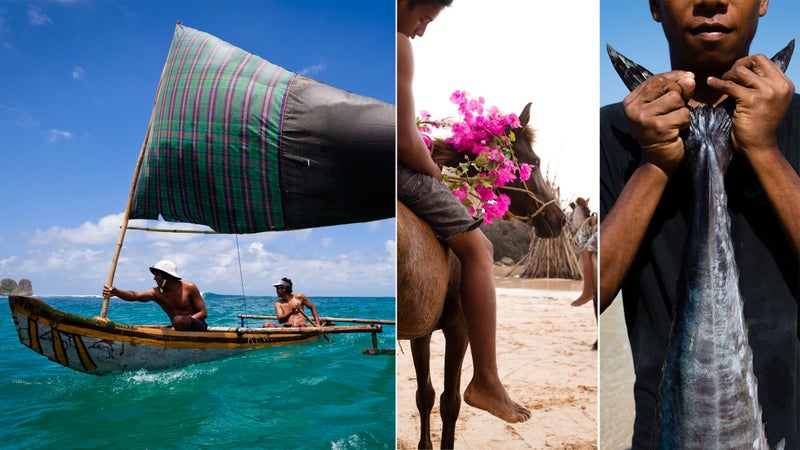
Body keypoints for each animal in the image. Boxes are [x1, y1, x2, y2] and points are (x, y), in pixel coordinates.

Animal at [398, 103, 564, 450]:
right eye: (535, 162)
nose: (560, 219)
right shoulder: (458, 328)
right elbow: (449, 401)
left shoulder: (421, 330)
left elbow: (425, 395)